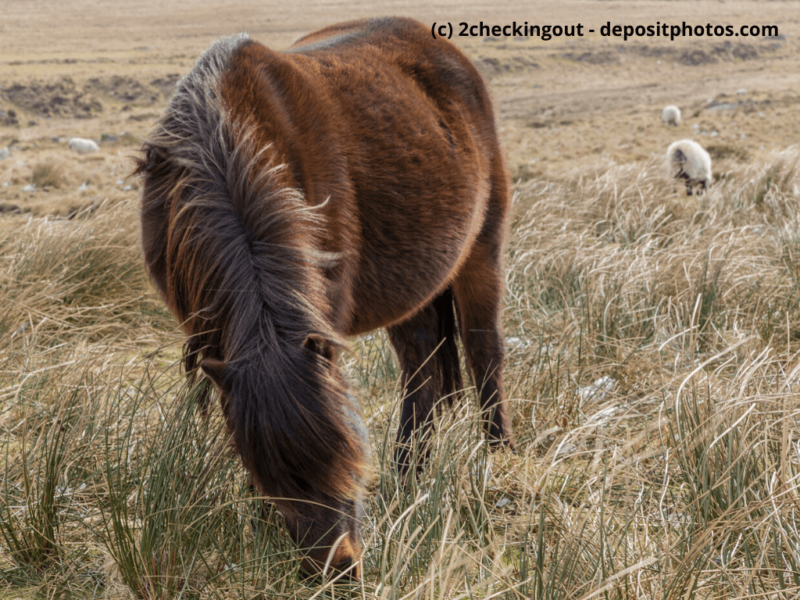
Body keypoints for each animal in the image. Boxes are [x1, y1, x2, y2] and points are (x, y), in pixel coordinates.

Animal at [135, 16, 514, 580]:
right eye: (268, 474)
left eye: (347, 453)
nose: (338, 572)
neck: (228, 140)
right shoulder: (206, 330)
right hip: (409, 288)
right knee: (423, 368)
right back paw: (410, 472)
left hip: (480, 253)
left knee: (483, 350)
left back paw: (495, 456)